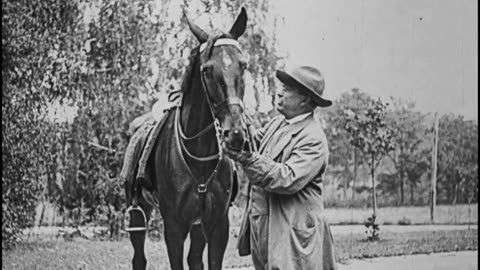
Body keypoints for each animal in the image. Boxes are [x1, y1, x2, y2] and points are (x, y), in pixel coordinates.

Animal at [126, 8, 248, 270]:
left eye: (243, 65)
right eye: (206, 70)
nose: (234, 133)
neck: (199, 156)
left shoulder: (218, 226)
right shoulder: (174, 228)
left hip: (198, 226)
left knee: (195, 259)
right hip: (138, 212)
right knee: (139, 258)